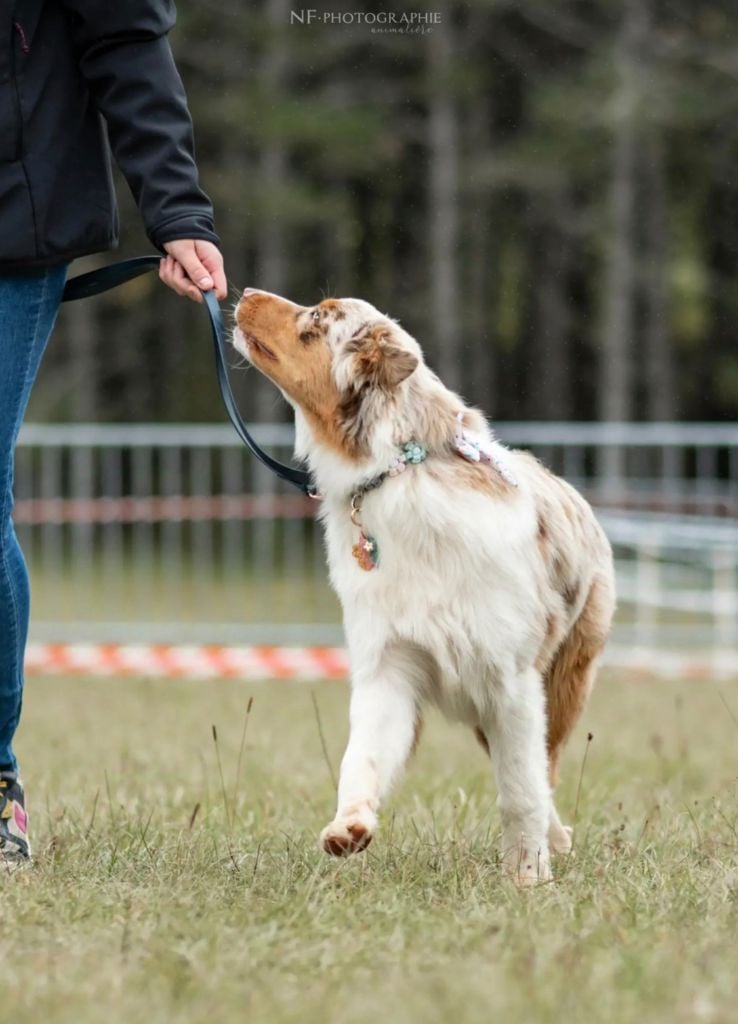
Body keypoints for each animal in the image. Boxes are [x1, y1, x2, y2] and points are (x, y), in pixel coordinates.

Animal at [233, 290, 614, 888]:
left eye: (317, 317)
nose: (244, 292)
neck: (398, 469)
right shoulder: (390, 664)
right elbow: (361, 757)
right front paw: (349, 827)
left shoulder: (511, 681)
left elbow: (522, 790)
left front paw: (530, 877)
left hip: (566, 679)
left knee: (545, 768)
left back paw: (554, 842)